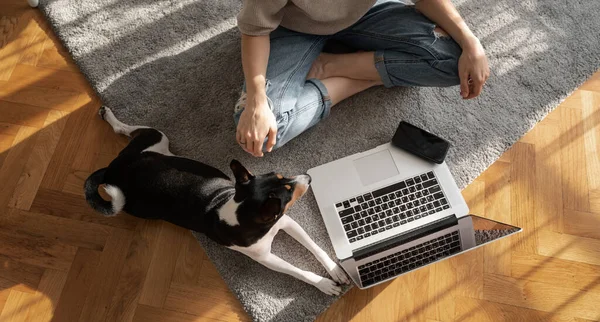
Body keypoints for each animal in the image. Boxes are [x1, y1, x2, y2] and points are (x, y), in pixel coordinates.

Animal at [82, 107, 350, 294]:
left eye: (283, 177)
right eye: (289, 191)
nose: (309, 177)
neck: (242, 213)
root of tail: (112, 171)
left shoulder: (286, 222)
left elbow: (316, 248)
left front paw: (336, 271)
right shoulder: (266, 258)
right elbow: (299, 272)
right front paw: (324, 284)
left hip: (157, 140)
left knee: (127, 131)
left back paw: (109, 116)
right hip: (141, 184)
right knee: (124, 130)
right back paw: (110, 117)